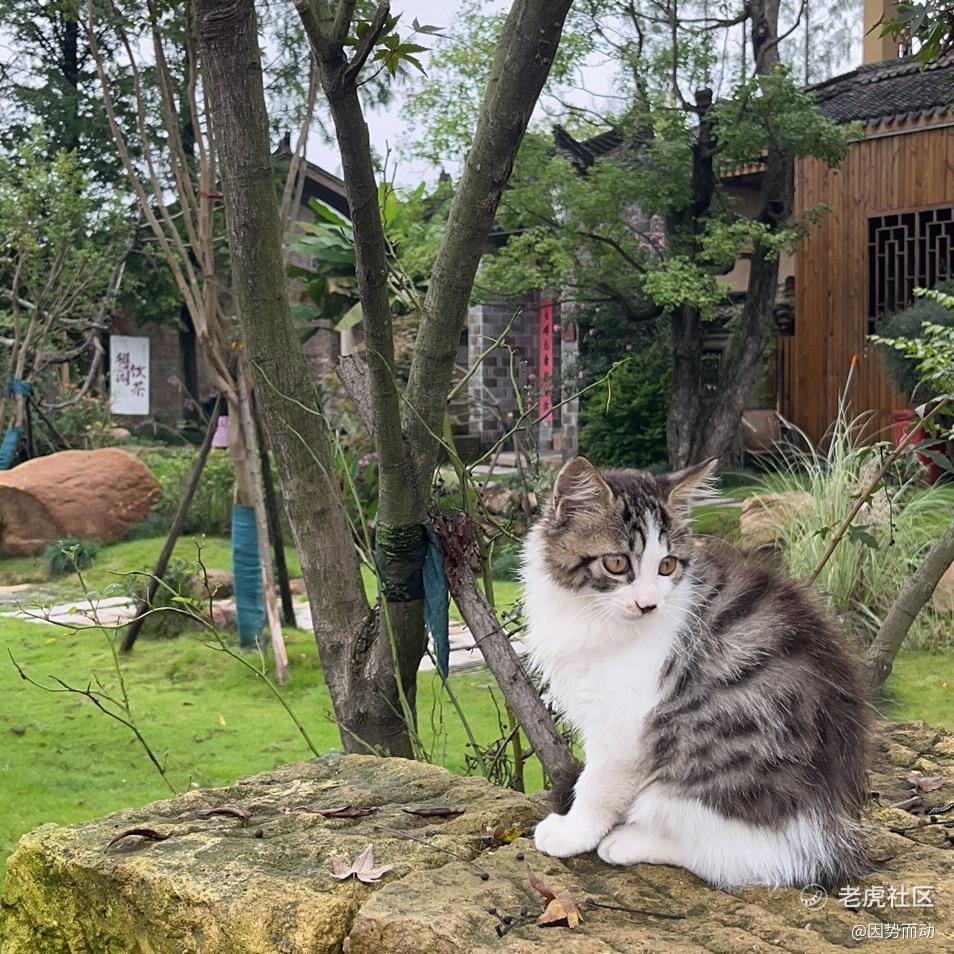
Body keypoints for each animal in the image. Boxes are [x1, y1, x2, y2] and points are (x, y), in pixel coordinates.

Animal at [524, 458, 868, 888]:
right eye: (617, 563)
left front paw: (573, 832)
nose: (648, 604)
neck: (590, 615)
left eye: (667, 565)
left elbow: (597, 785)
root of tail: (827, 823)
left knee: (738, 858)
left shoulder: (625, 726)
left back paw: (630, 841)